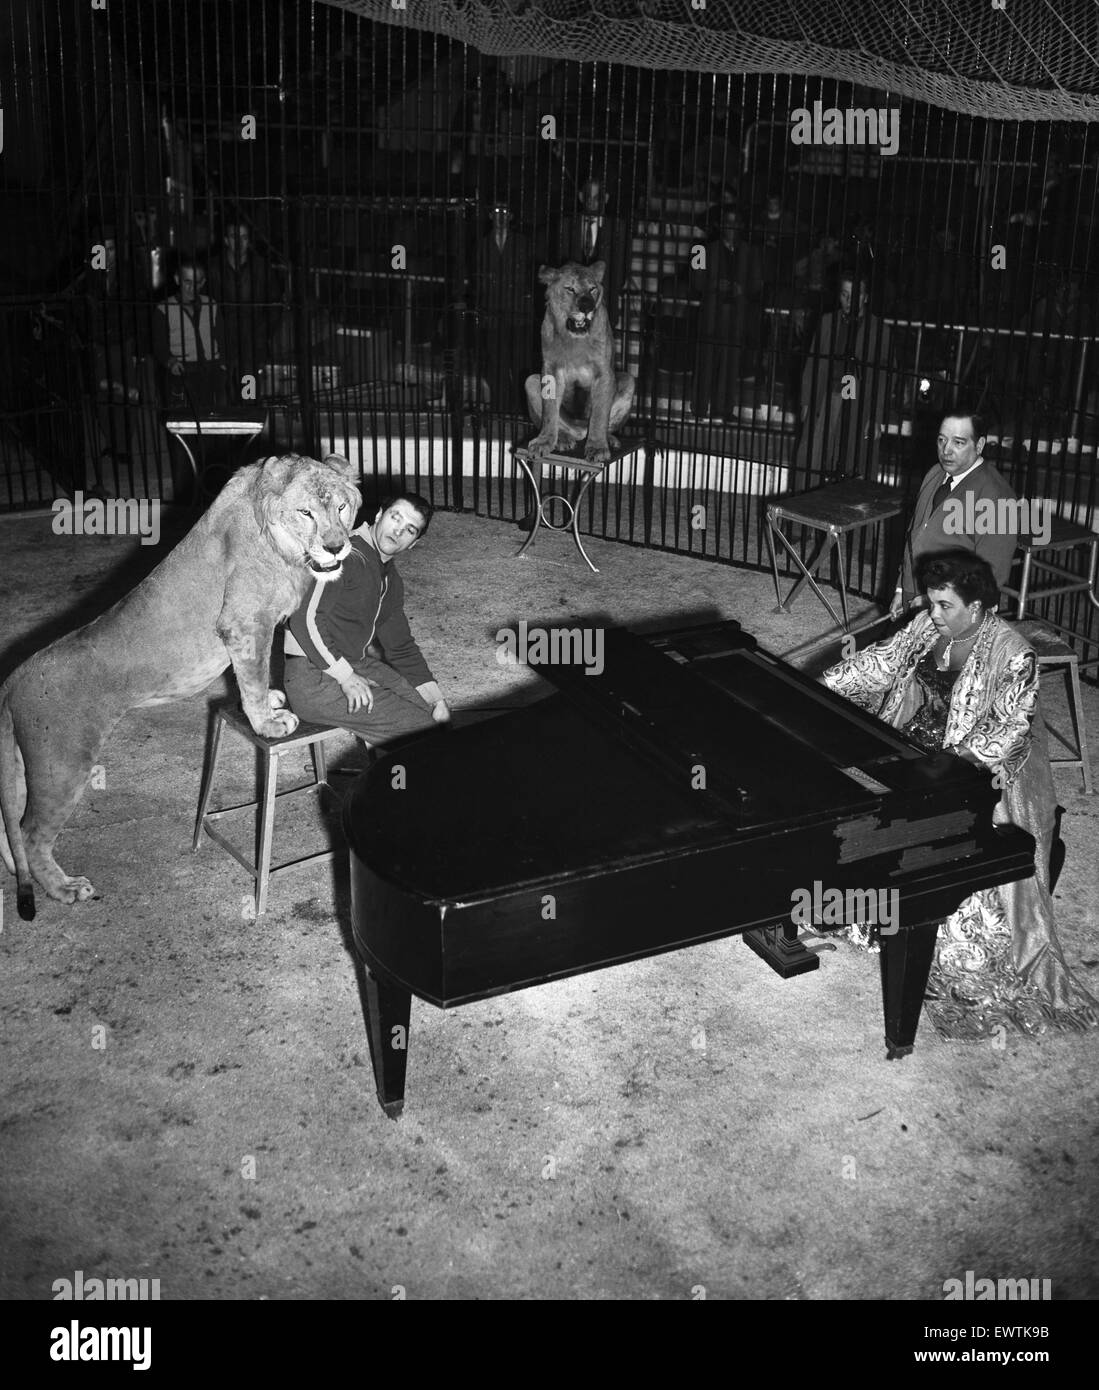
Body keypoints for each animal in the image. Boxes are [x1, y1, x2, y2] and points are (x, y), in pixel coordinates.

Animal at [0, 450, 361, 917]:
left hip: (23, 765)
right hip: (62, 765)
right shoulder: (245, 621)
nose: (336, 546)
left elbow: (254, 675)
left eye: (342, 507)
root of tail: (14, 678)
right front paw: (266, 721)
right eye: (306, 513)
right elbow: (253, 672)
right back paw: (64, 888)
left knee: (9, 827)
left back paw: (19, 873)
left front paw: (271, 700)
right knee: (30, 833)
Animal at [525, 262, 636, 469]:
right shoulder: (550, 371)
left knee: (602, 424)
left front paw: (598, 447)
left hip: (628, 380)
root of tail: (580, 431)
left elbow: (600, 415)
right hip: (530, 381)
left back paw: (609, 439)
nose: (587, 306)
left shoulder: (604, 373)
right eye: (570, 288)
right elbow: (550, 411)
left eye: (592, 289)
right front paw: (544, 442)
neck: (575, 339)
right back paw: (562, 439)